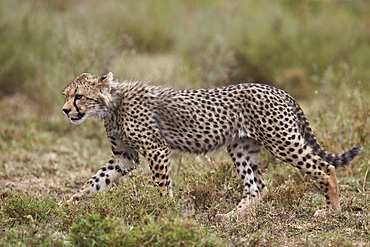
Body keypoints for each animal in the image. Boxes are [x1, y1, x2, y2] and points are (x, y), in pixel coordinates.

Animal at [61, 72, 362, 219]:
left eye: (79, 96)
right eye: (66, 95)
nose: (65, 110)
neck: (112, 104)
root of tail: (276, 88)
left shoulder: (156, 150)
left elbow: (162, 186)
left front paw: (163, 212)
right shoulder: (125, 156)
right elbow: (94, 182)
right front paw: (70, 203)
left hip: (282, 141)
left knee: (324, 167)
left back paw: (332, 211)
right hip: (241, 146)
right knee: (257, 187)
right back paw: (230, 217)